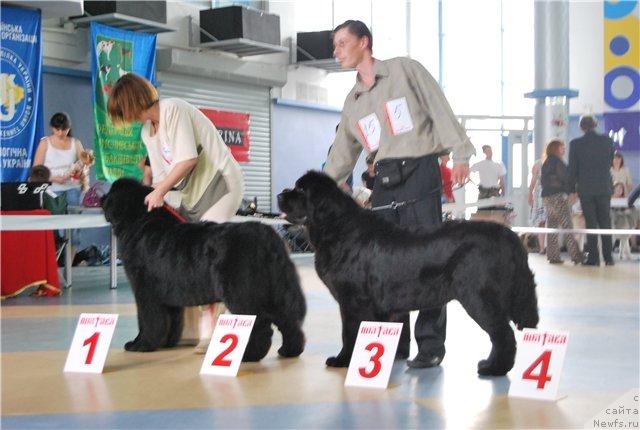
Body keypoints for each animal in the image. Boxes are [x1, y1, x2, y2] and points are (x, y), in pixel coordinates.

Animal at [102, 176, 308, 362]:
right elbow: (172, 321)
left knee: (260, 326)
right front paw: (166, 343)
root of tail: (268, 236)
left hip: (243, 294)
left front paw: (140, 345)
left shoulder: (145, 291)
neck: (140, 222)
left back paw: (248, 356)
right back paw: (289, 351)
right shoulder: (168, 295)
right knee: (288, 320)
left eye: (111, 192)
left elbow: (147, 320)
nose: (101, 198)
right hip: (277, 291)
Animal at [278, 171, 536, 376]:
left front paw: (343, 360)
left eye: (301, 189)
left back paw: (493, 369)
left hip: (478, 296)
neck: (337, 227)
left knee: (502, 334)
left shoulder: (352, 300)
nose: (280, 195)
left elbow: (349, 333)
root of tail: (509, 235)